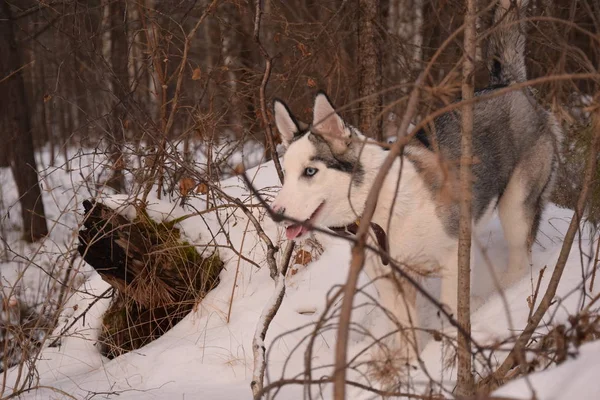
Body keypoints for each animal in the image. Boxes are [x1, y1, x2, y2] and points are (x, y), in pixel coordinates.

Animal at [270, 0, 560, 360]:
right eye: (286, 172)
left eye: (310, 172)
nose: (276, 213)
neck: (379, 207)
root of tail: (507, 84)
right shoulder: (390, 279)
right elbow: (405, 330)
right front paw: (407, 364)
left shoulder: (453, 257)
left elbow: (450, 312)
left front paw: (446, 355)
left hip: (516, 207)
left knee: (520, 262)